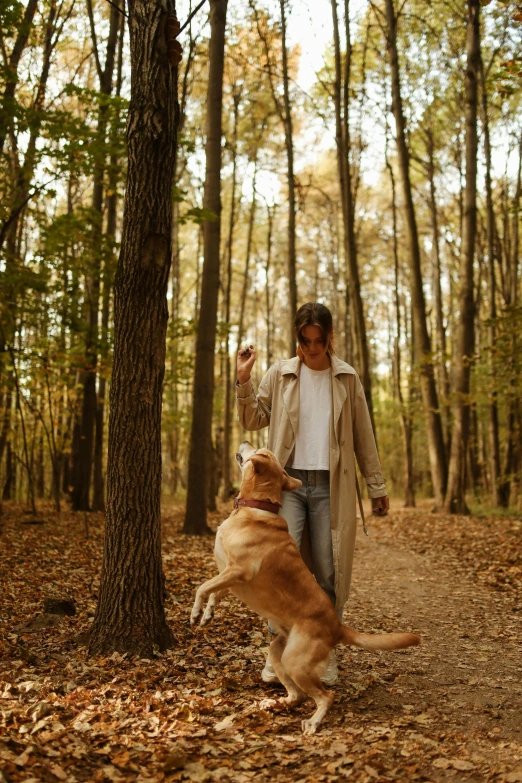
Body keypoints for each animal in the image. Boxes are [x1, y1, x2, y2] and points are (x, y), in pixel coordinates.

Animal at [191, 444, 418, 740]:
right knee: (296, 695)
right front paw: (208, 613)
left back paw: (314, 721)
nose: (245, 441)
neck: (256, 509)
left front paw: (195, 611)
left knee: (325, 696)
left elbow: (202, 587)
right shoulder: (229, 575)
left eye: (259, 449)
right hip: (278, 652)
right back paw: (275, 703)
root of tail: (337, 626)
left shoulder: (238, 571)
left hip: (295, 661)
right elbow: (214, 591)